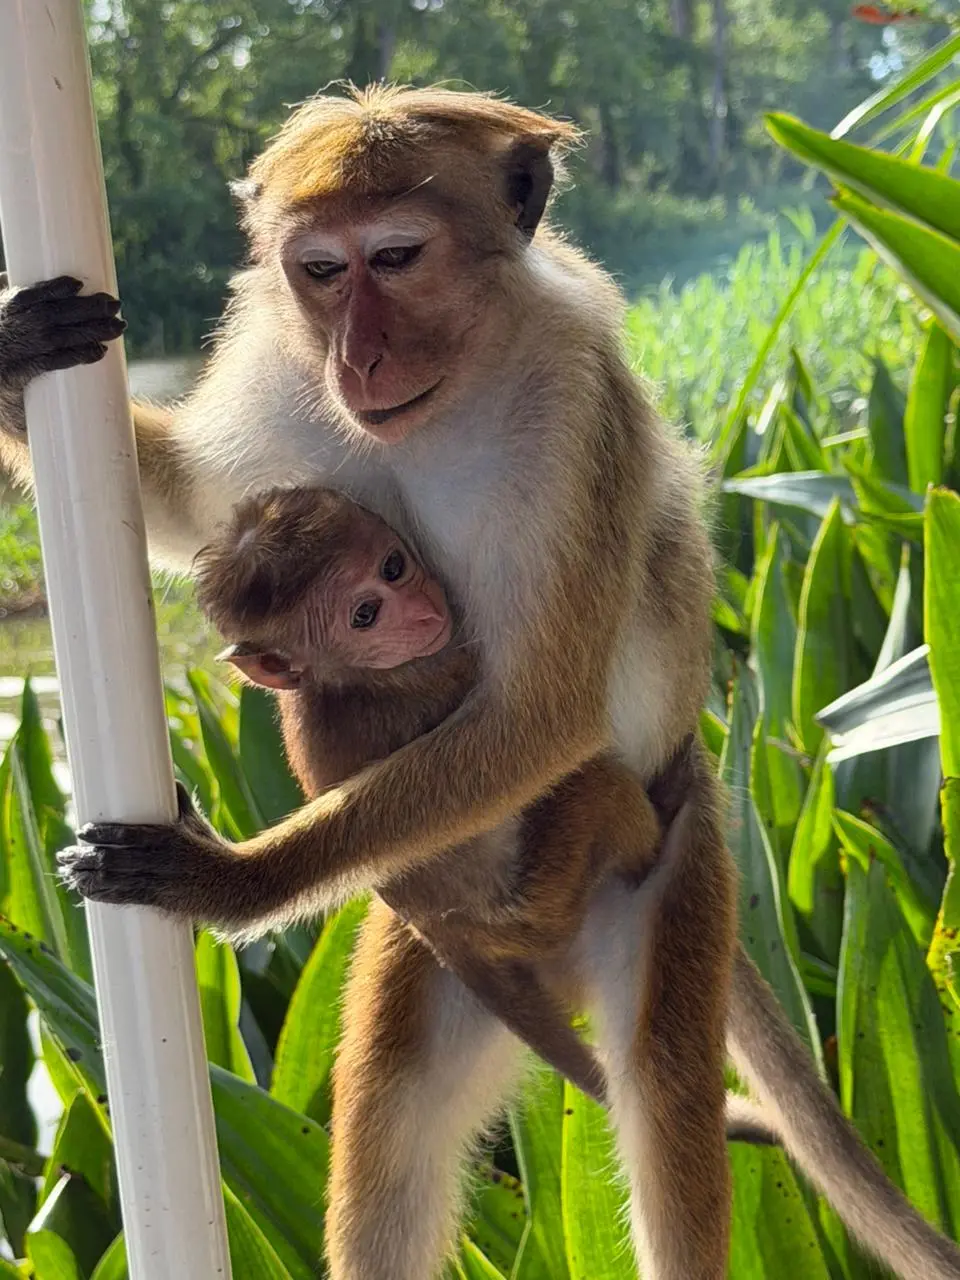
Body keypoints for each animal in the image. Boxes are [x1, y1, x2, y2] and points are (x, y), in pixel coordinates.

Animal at [2, 84, 956, 1280]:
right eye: (322, 269)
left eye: (396, 256)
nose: (359, 357)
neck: (453, 389)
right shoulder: (285, 370)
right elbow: (181, 508)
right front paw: (19, 353)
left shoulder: (574, 416)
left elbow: (543, 709)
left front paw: (238, 884)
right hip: (445, 956)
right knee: (392, 1135)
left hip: (660, 866)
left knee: (663, 1097)